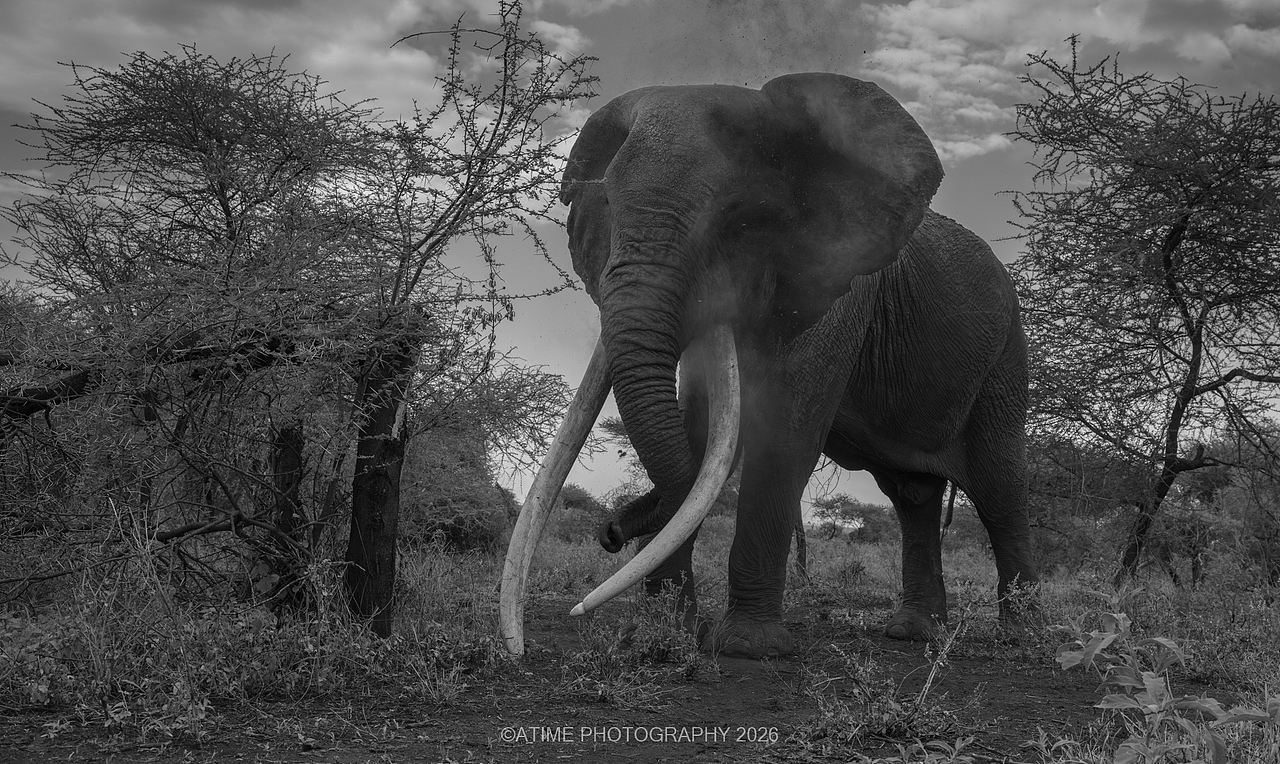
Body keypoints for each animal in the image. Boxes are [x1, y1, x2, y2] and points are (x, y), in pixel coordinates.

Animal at [500, 72, 1037, 659]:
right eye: (605, 209)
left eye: (737, 222)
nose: (609, 532)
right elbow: (699, 431)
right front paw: (665, 635)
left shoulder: (836, 280)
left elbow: (782, 436)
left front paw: (745, 646)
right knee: (912, 495)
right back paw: (914, 633)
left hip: (1005, 359)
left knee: (1000, 488)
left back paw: (1021, 638)